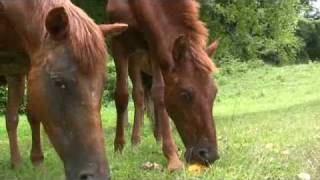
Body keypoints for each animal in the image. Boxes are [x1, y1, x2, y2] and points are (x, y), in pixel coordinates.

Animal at [0, 0, 127, 179]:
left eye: (103, 82)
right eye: (58, 81)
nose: (97, 175)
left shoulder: (19, 70)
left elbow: (23, 117)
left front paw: (33, 161)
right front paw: (19, 163)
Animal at [107, 0, 220, 170]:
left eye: (214, 93)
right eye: (185, 94)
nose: (209, 155)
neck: (135, 6)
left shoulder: (155, 46)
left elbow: (159, 94)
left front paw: (172, 156)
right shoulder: (118, 42)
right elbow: (122, 95)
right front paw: (118, 147)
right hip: (135, 62)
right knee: (138, 95)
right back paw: (136, 141)